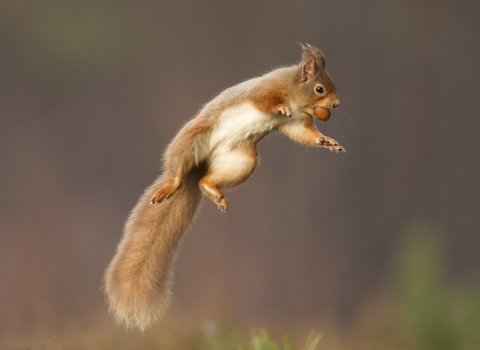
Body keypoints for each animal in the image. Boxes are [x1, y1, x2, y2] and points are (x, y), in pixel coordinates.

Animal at [104, 43, 344, 330]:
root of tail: (200, 166)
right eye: (319, 88)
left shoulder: (297, 123)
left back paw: (214, 192)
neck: (296, 93)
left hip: (242, 161)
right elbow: (263, 100)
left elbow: (306, 134)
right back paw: (171, 186)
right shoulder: (264, 89)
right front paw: (280, 107)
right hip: (189, 141)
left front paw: (327, 141)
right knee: (177, 172)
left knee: (205, 181)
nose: (337, 104)